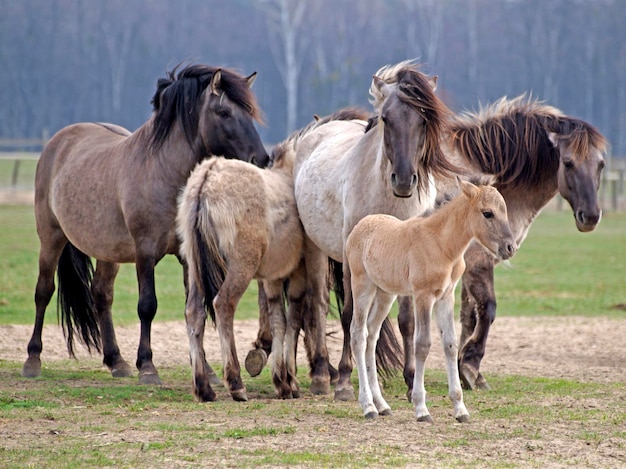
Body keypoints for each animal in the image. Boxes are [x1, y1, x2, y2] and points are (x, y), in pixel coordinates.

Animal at [22, 62, 268, 384]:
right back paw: (33, 359)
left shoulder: (187, 257)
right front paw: (148, 366)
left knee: (102, 295)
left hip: (108, 251)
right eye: (224, 112)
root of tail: (58, 142)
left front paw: (206, 370)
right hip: (51, 237)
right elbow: (147, 306)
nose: (261, 159)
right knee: (43, 291)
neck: (163, 172)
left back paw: (116, 361)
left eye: (250, 112)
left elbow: (195, 309)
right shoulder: (145, 252)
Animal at [344, 179, 516, 420]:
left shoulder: (446, 296)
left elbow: (450, 344)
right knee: (358, 335)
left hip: (385, 293)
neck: (441, 244)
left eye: (505, 211)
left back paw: (382, 405)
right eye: (487, 213)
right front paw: (421, 408)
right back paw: (368, 406)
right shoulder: (423, 296)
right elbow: (422, 344)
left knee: (371, 336)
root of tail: (360, 226)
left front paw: (460, 409)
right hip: (363, 287)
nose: (510, 248)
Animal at [398, 95, 608, 394]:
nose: (589, 217)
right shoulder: (479, 261)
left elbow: (468, 316)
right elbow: (488, 310)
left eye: (601, 165)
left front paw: (466, 370)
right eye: (568, 163)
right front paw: (471, 366)